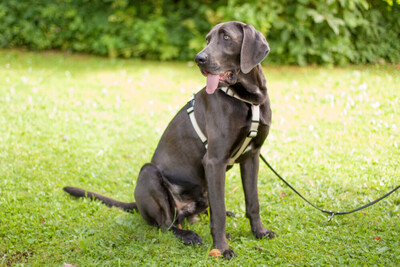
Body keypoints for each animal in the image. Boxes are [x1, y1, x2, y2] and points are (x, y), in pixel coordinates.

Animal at [64, 21, 276, 260]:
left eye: (226, 38)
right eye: (207, 39)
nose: (198, 58)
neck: (248, 99)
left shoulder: (252, 156)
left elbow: (252, 202)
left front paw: (259, 232)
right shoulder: (214, 160)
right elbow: (219, 214)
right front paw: (222, 248)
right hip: (148, 173)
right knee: (167, 224)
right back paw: (189, 236)